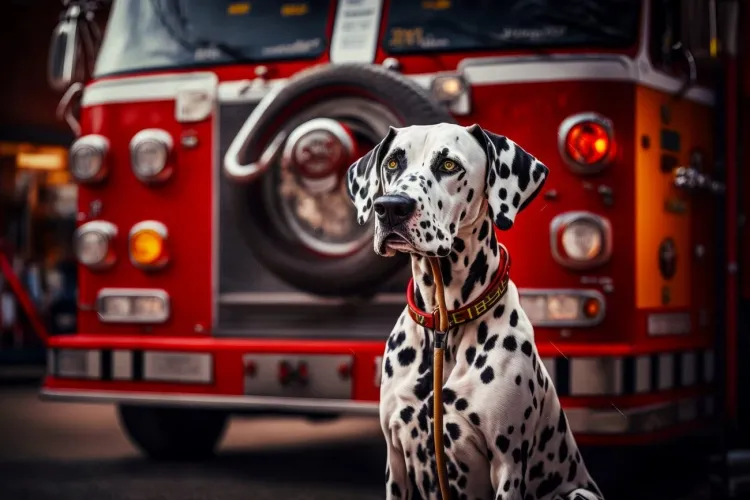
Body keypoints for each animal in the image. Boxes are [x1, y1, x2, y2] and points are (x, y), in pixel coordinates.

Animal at [350, 124, 608, 500]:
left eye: (448, 165)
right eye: (393, 162)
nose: (391, 208)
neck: (443, 325)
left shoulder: (508, 465)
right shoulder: (396, 462)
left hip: (577, 492)